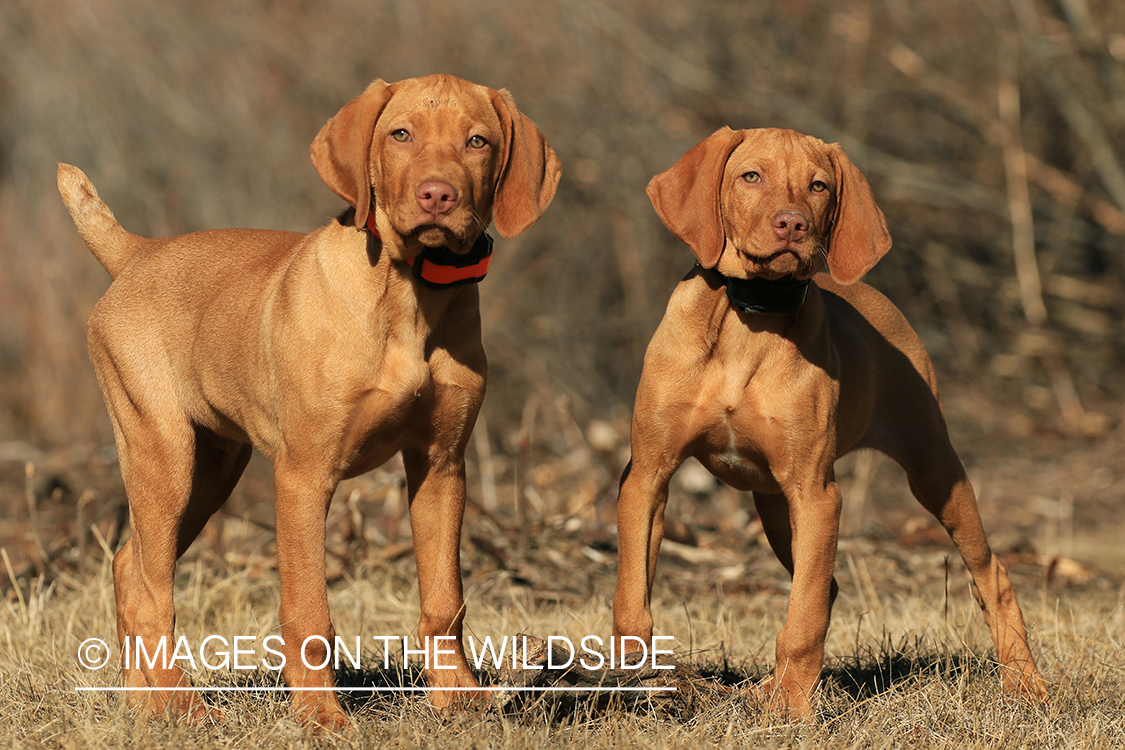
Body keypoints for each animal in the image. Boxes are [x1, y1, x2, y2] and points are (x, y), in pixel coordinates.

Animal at [59, 74, 560, 728]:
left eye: (478, 141)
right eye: (400, 134)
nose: (437, 196)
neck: (407, 296)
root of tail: (138, 253)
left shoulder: (442, 464)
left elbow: (444, 598)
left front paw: (458, 699)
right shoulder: (303, 474)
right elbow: (308, 609)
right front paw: (320, 715)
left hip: (212, 469)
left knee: (130, 566)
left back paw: (146, 707)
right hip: (162, 454)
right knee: (151, 594)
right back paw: (184, 707)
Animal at [616, 127, 1044, 715]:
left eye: (818, 186)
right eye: (751, 176)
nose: (793, 224)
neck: (747, 318)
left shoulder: (817, 492)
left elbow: (805, 618)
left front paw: (794, 711)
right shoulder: (646, 475)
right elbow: (631, 596)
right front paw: (632, 683)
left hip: (934, 470)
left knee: (989, 573)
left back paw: (1026, 683)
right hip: (776, 510)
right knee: (825, 584)